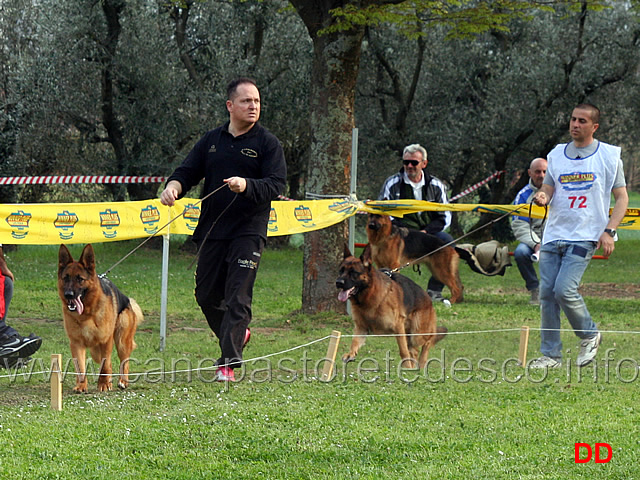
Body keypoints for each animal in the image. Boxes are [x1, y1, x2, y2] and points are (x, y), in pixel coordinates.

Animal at [57, 246, 144, 392]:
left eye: (80, 279)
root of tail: (127, 300)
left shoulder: (105, 340)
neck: (87, 314)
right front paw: (81, 385)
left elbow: (104, 365)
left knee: (124, 362)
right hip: (95, 350)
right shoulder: (76, 343)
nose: (68, 295)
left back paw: (123, 381)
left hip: (121, 342)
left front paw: (103, 384)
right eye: (66, 278)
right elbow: (80, 367)